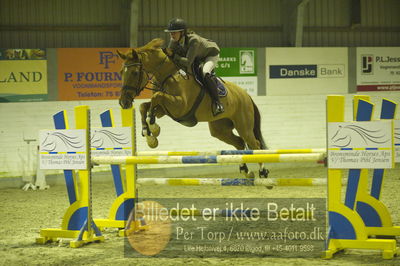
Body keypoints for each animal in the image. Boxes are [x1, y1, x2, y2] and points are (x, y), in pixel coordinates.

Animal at [119, 38, 268, 178]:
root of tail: (246, 95)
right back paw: (246, 171)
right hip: (220, 129)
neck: (169, 75)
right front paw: (149, 134)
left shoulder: (180, 106)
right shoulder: (166, 109)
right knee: (240, 143)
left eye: (134, 72)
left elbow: (157, 97)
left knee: (255, 144)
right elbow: (144, 106)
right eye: (121, 72)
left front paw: (153, 128)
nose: (123, 102)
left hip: (243, 125)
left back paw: (263, 173)